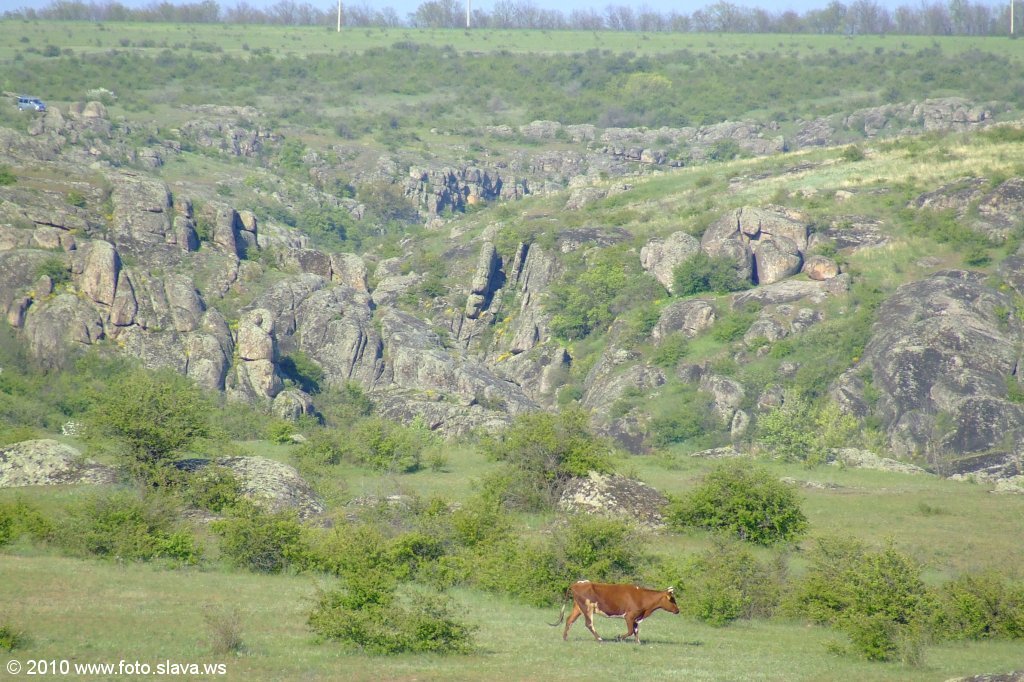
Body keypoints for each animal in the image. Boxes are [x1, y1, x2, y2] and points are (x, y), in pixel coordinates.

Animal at [549, 580, 679, 644]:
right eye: (672, 600)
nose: (678, 610)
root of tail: (577, 584)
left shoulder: (636, 618)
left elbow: (636, 631)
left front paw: (638, 642)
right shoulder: (629, 616)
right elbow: (630, 631)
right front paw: (618, 637)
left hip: (578, 607)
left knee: (569, 620)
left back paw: (565, 638)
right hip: (587, 608)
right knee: (589, 624)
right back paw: (599, 639)